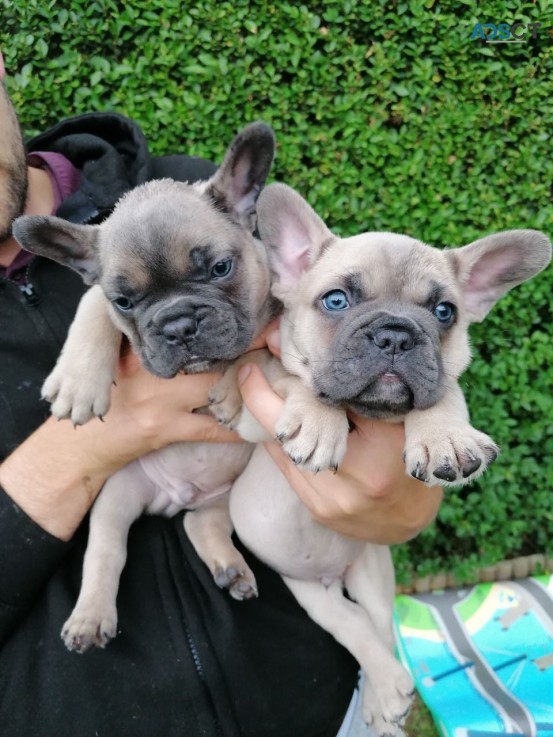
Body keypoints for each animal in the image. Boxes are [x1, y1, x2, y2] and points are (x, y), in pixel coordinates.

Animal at [201, 183, 548, 736]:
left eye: (444, 312)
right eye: (335, 300)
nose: (396, 333)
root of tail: (335, 574)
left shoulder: (435, 383)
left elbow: (443, 391)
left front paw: (445, 435)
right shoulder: (264, 411)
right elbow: (295, 379)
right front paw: (317, 419)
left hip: (372, 569)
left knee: (378, 625)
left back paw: (385, 695)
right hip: (307, 590)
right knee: (351, 625)